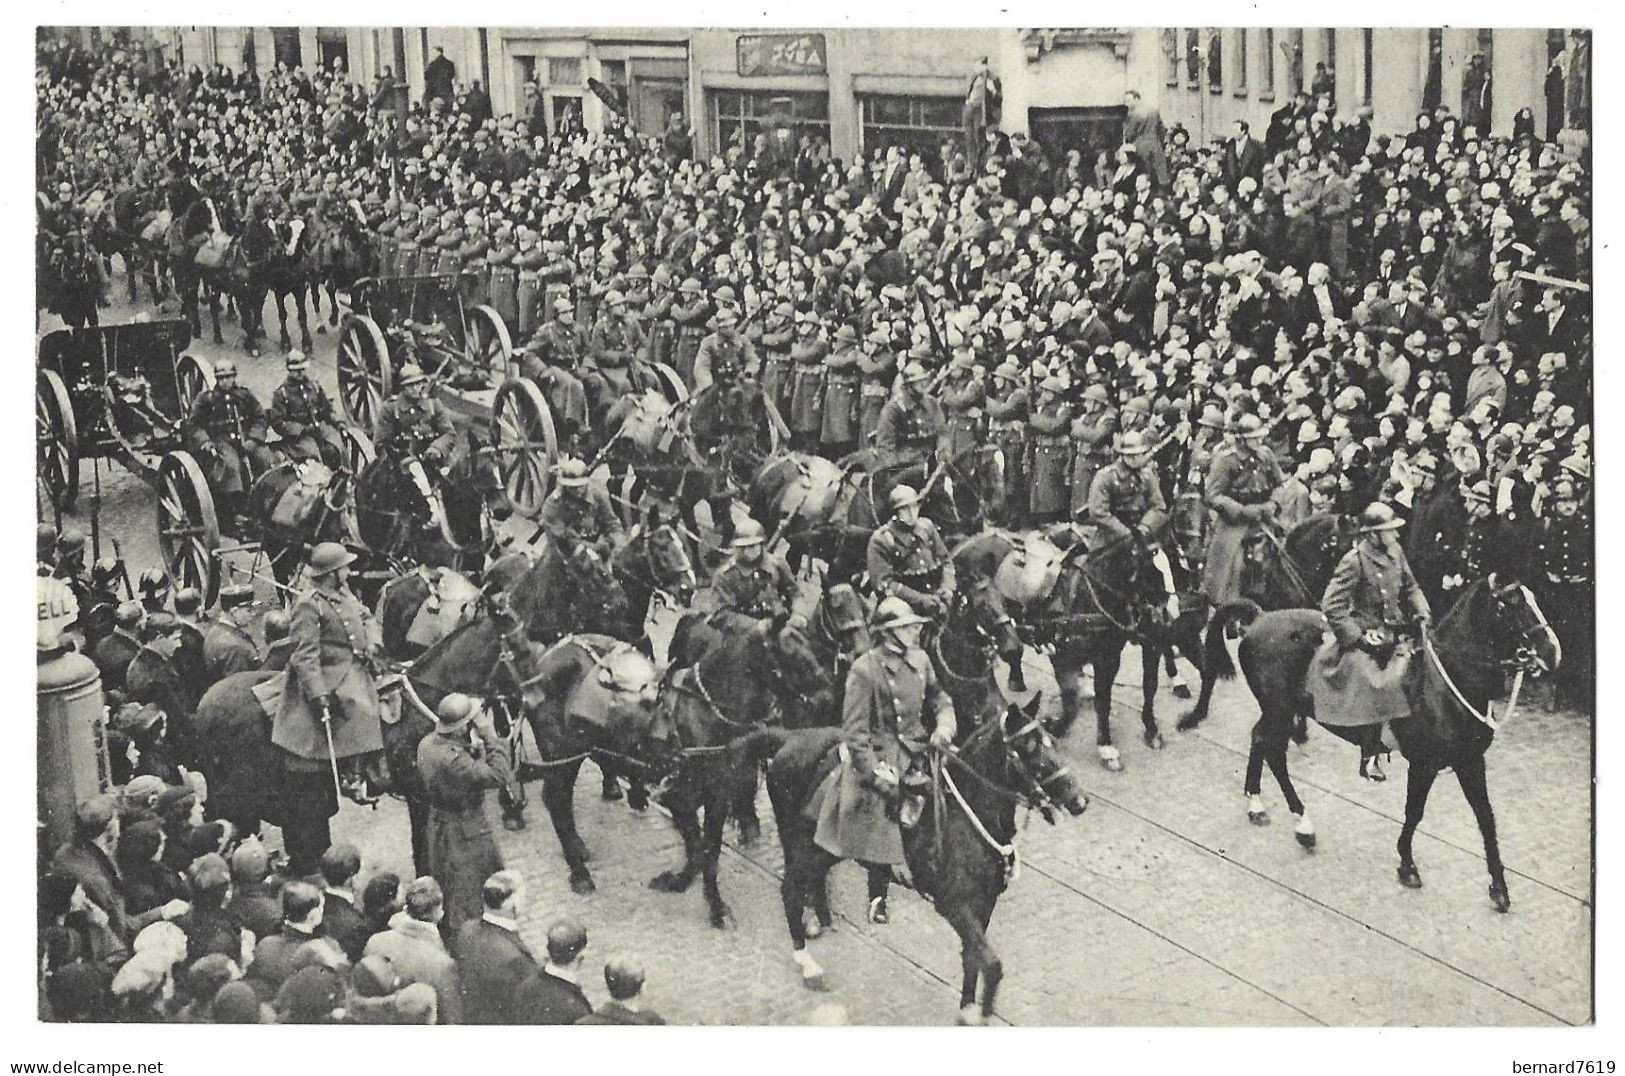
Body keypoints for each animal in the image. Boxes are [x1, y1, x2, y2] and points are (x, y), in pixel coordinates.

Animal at [637, 620, 832, 929]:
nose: (827, 699)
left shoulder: (716, 800)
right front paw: (682, 882)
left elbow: (709, 852)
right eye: (792, 658)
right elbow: (698, 847)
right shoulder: (681, 798)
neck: (703, 715)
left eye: (813, 650)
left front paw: (712, 902)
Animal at [1222, 572, 1553, 910]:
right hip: (1279, 710)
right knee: (1272, 750)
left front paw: (1499, 887)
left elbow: (1486, 817)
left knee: (1263, 743)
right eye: (1507, 607)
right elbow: (1415, 812)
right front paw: (1407, 865)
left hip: (1279, 712)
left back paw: (1264, 808)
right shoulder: (1423, 764)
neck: (1445, 684)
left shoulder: (1470, 761)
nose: (1552, 651)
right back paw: (1296, 822)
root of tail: (1260, 617)